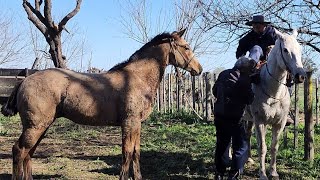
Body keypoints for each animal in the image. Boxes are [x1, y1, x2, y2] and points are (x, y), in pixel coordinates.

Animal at [1, 28, 202, 179]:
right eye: (186, 47)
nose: (198, 69)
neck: (135, 78)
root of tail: (26, 80)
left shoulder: (137, 124)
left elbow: (136, 152)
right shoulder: (129, 122)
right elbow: (127, 152)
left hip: (41, 126)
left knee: (28, 153)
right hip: (35, 126)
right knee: (19, 150)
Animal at [246, 29, 306, 180]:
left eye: (300, 49)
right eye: (285, 50)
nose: (301, 76)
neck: (274, 93)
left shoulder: (279, 123)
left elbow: (274, 147)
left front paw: (273, 172)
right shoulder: (260, 122)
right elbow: (262, 147)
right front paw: (262, 174)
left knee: (247, 134)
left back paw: (248, 158)